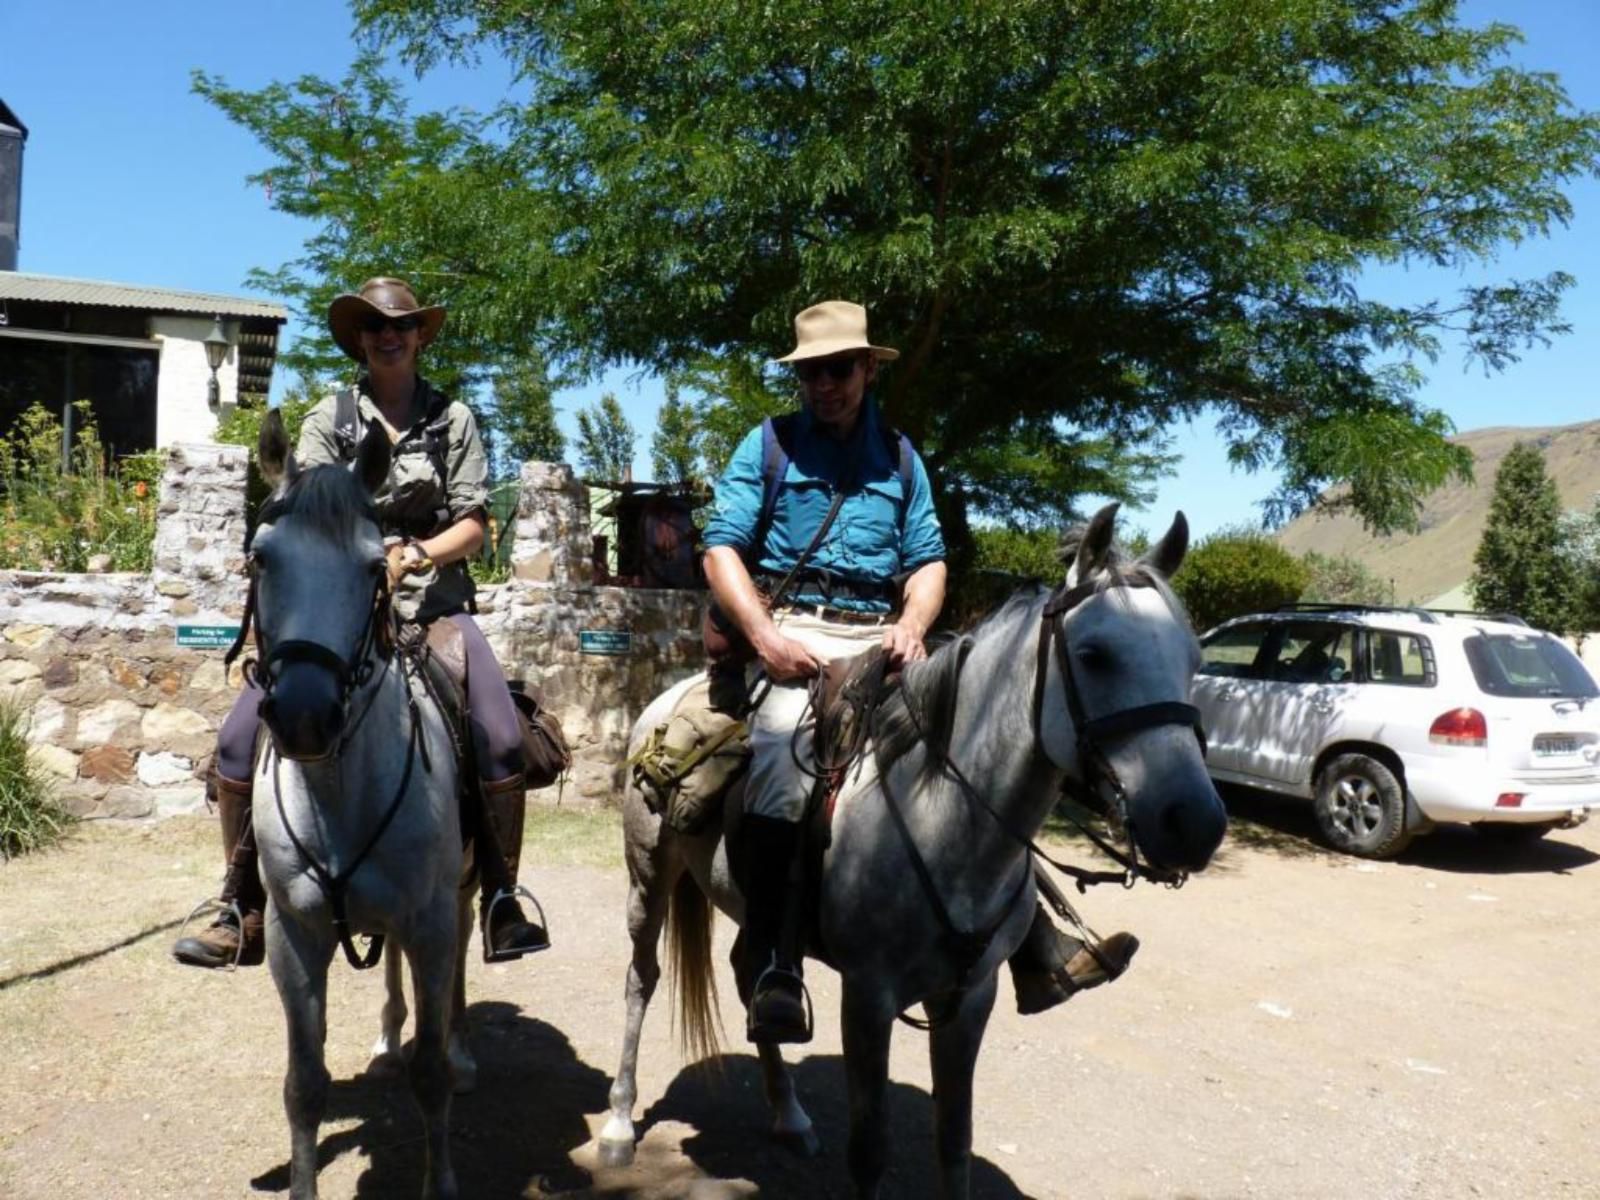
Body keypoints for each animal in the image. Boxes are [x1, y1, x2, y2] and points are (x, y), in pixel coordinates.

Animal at [246, 412, 473, 1200]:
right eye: (260, 559)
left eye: (377, 567)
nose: (305, 717)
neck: (339, 794)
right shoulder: (292, 935)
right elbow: (303, 1085)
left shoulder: (432, 919)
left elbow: (430, 1076)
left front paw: (442, 1180)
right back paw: (386, 1038)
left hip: (460, 897)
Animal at [598, 508, 1222, 1200]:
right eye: (1094, 655)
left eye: (1194, 659)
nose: (1196, 824)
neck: (941, 822)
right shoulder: (868, 999)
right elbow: (871, 1149)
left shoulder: (971, 999)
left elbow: (953, 1140)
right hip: (648, 877)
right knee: (641, 979)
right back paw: (620, 1124)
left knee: (747, 973)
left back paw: (789, 1111)